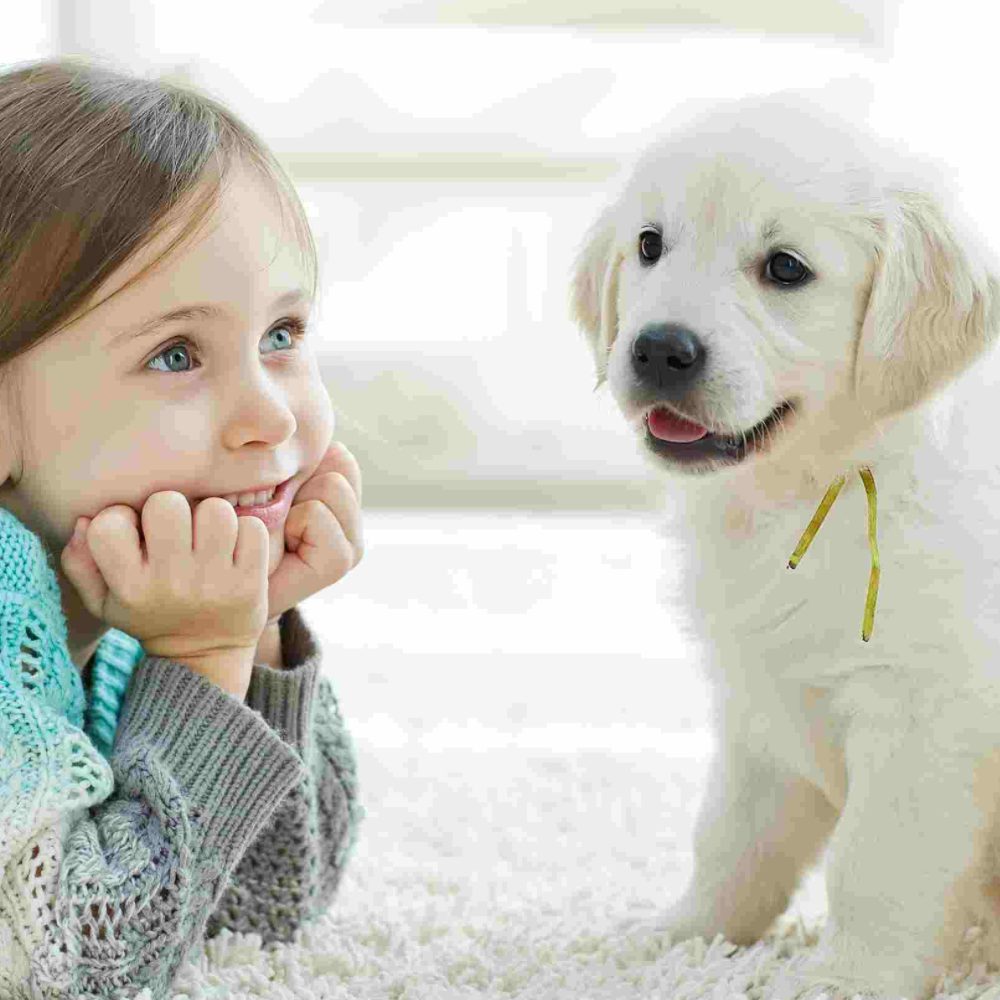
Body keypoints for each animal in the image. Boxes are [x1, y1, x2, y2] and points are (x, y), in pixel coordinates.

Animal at [576, 95, 1000, 1000]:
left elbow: (874, 863)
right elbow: (733, 838)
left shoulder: (923, 714)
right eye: (650, 245)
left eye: (785, 268)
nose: (659, 348)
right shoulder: (759, 703)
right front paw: (682, 937)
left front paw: (852, 978)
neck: (813, 491)